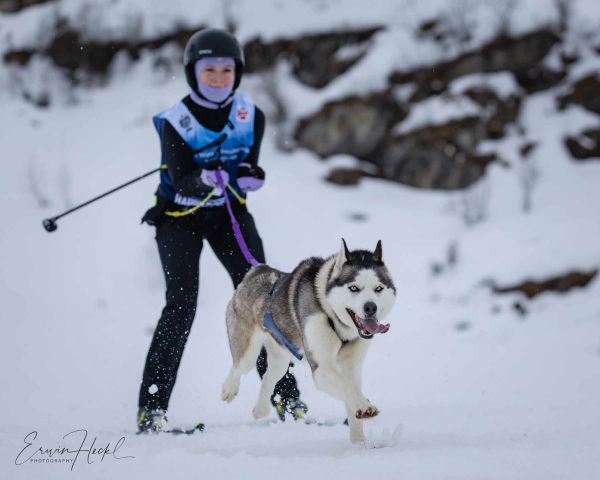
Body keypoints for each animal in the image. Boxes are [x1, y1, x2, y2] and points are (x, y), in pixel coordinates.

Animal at [221, 239, 396, 443]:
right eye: (354, 288)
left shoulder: (351, 367)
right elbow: (347, 387)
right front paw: (365, 407)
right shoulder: (322, 369)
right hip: (247, 352)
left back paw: (260, 410)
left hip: (281, 359)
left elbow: (351, 390)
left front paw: (359, 442)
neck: (330, 312)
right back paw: (229, 389)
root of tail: (258, 269)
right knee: (239, 367)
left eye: (378, 289)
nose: (370, 307)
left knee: (268, 378)